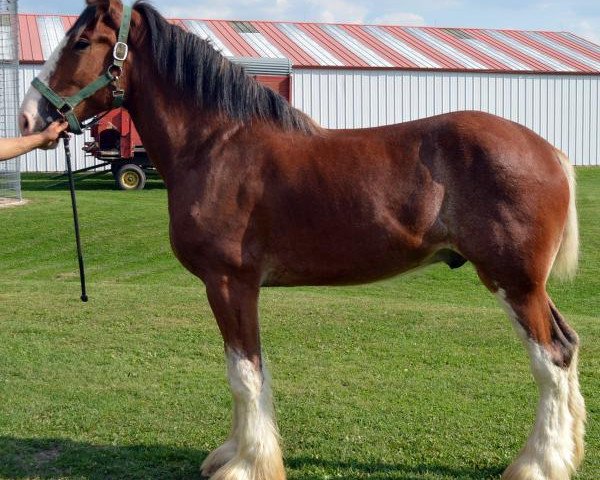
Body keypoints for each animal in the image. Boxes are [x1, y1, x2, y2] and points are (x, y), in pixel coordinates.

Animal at [18, 1, 584, 478]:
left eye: (81, 42)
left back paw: (535, 464)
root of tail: (550, 152)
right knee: (568, 346)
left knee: (550, 359)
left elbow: (244, 373)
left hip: (513, 282)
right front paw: (233, 453)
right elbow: (246, 370)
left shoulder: (230, 283)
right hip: (528, 286)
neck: (215, 146)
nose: (28, 118)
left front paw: (247, 464)